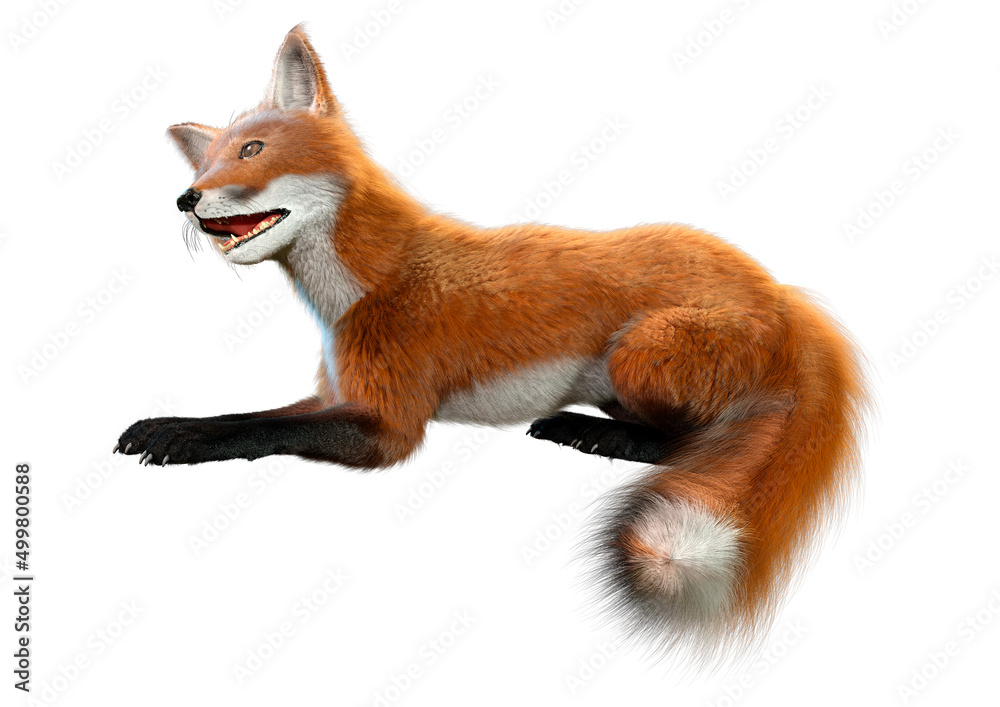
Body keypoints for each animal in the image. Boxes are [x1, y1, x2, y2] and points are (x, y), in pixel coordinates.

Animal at [116, 24, 869, 664]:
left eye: (252, 151)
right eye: (205, 162)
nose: (187, 199)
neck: (363, 285)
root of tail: (779, 290)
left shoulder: (388, 425)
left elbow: (249, 428)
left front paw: (179, 437)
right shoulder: (340, 392)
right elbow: (253, 415)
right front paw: (169, 425)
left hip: (639, 352)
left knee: (694, 443)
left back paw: (592, 433)